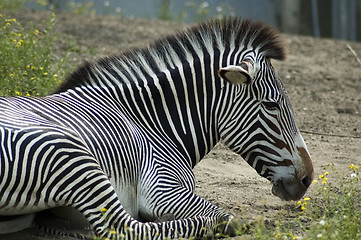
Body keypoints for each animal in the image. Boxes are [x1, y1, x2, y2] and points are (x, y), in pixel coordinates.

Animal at [0, 17, 312, 239]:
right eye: (272, 105)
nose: (308, 178)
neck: (151, 124)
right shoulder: (161, 187)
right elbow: (223, 214)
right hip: (72, 154)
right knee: (125, 228)